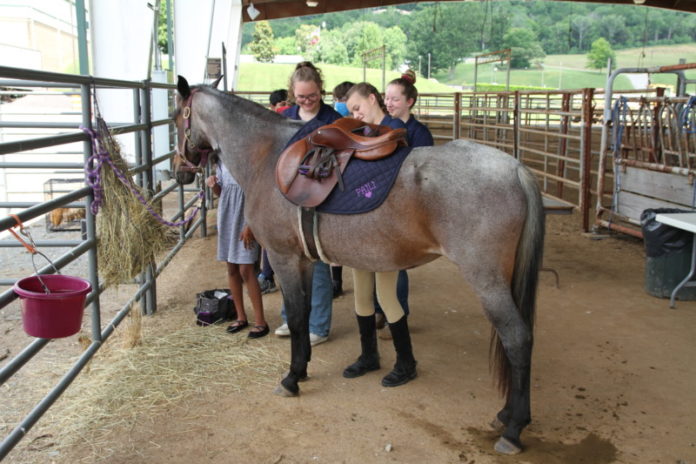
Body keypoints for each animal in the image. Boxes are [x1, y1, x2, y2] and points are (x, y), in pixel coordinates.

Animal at [173, 78, 544, 454]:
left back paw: (513, 428)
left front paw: (291, 378)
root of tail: (516, 169)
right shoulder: (305, 262)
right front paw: (302, 368)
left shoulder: (283, 258)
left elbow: (297, 317)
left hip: (487, 281)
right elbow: (305, 313)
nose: (179, 171)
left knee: (517, 338)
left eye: (176, 117)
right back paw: (505, 415)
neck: (268, 156)